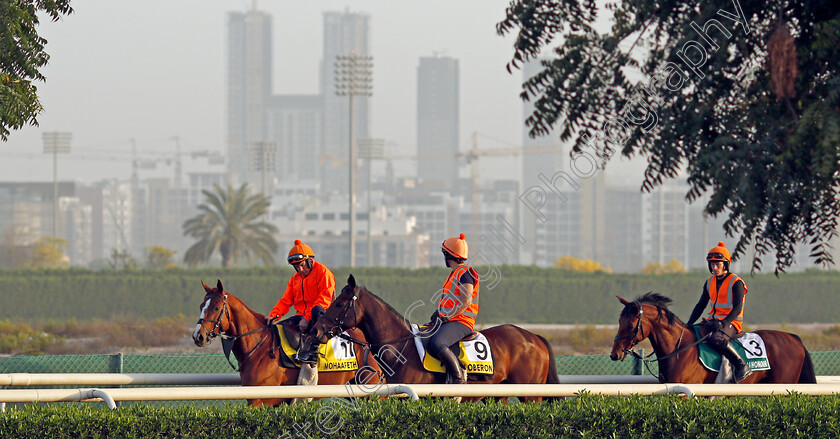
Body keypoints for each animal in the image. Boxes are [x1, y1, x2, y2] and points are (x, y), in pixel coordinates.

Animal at [191, 280, 384, 408]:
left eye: (216, 308)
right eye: (201, 306)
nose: (198, 336)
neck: (259, 348)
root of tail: (364, 341)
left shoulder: (258, 401)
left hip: (372, 391)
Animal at [306, 276, 560, 404]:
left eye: (339, 303)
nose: (315, 331)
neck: (401, 348)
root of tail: (534, 337)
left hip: (530, 395)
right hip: (499, 393)